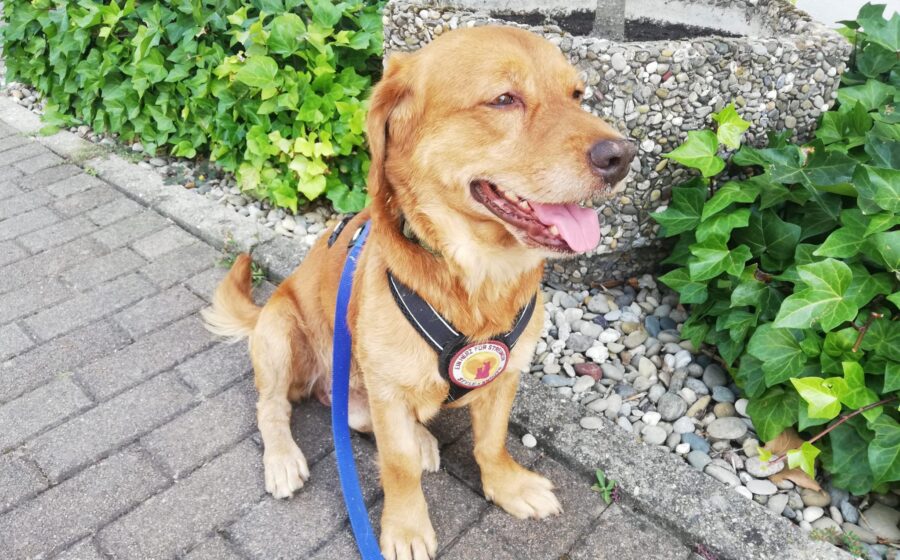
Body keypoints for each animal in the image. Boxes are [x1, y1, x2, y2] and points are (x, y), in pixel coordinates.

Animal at [203, 25, 635, 560]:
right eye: (504, 99)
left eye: (578, 95)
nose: (622, 156)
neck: (478, 280)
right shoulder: (388, 390)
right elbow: (398, 467)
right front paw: (406, 527)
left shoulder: (506, 374)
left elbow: (490, 443)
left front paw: (508, 486)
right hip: (280, 333)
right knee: (273, 408)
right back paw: (284, 459)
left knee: (354, 417)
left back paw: (421, 438)